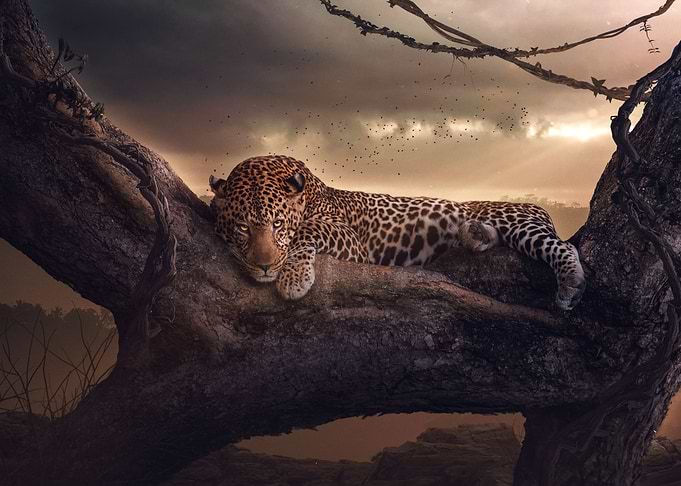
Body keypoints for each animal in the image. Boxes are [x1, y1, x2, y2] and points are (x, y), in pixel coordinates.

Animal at [209, 155, 586, 310]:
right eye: (243, 227)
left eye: (277, 225)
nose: (264, 267)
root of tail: (540, 208)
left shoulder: (352, 241)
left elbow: (308, 229)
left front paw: (293, 278)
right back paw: (475, 234)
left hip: (516, 221)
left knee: (563, 247)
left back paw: (570, 283)